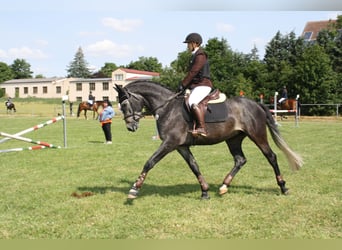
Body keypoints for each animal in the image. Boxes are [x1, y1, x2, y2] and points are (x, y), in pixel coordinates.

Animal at [114, 81, 302, 200]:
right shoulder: (181, 146)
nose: (130, 127)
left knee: (271, 157)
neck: (167, 107)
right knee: (240, 159)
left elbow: (150, 162)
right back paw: (224, 186)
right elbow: (194, 166)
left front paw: (134, 189)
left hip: (257, 135)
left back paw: (283, 187)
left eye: (124, 105)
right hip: (233, 139)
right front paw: (204, 192)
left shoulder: (169, 143)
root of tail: (255, 104)